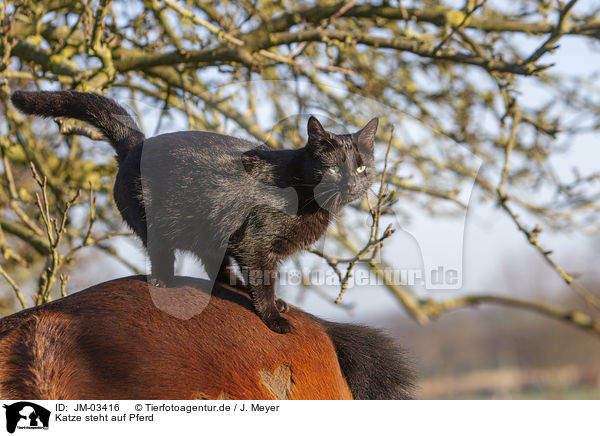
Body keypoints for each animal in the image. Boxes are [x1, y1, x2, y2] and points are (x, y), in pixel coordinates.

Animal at [10, 90, 380, 332]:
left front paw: (274, 305)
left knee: (214, 263)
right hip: (158, 223)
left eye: (361, 167)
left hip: (210, 231)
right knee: (163, 254)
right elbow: (263, 281)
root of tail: (137, 144)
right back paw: (164, 281)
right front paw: (273, 317)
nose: (351, 182)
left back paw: (232, 284)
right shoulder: (256, 244)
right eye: (334, 168)